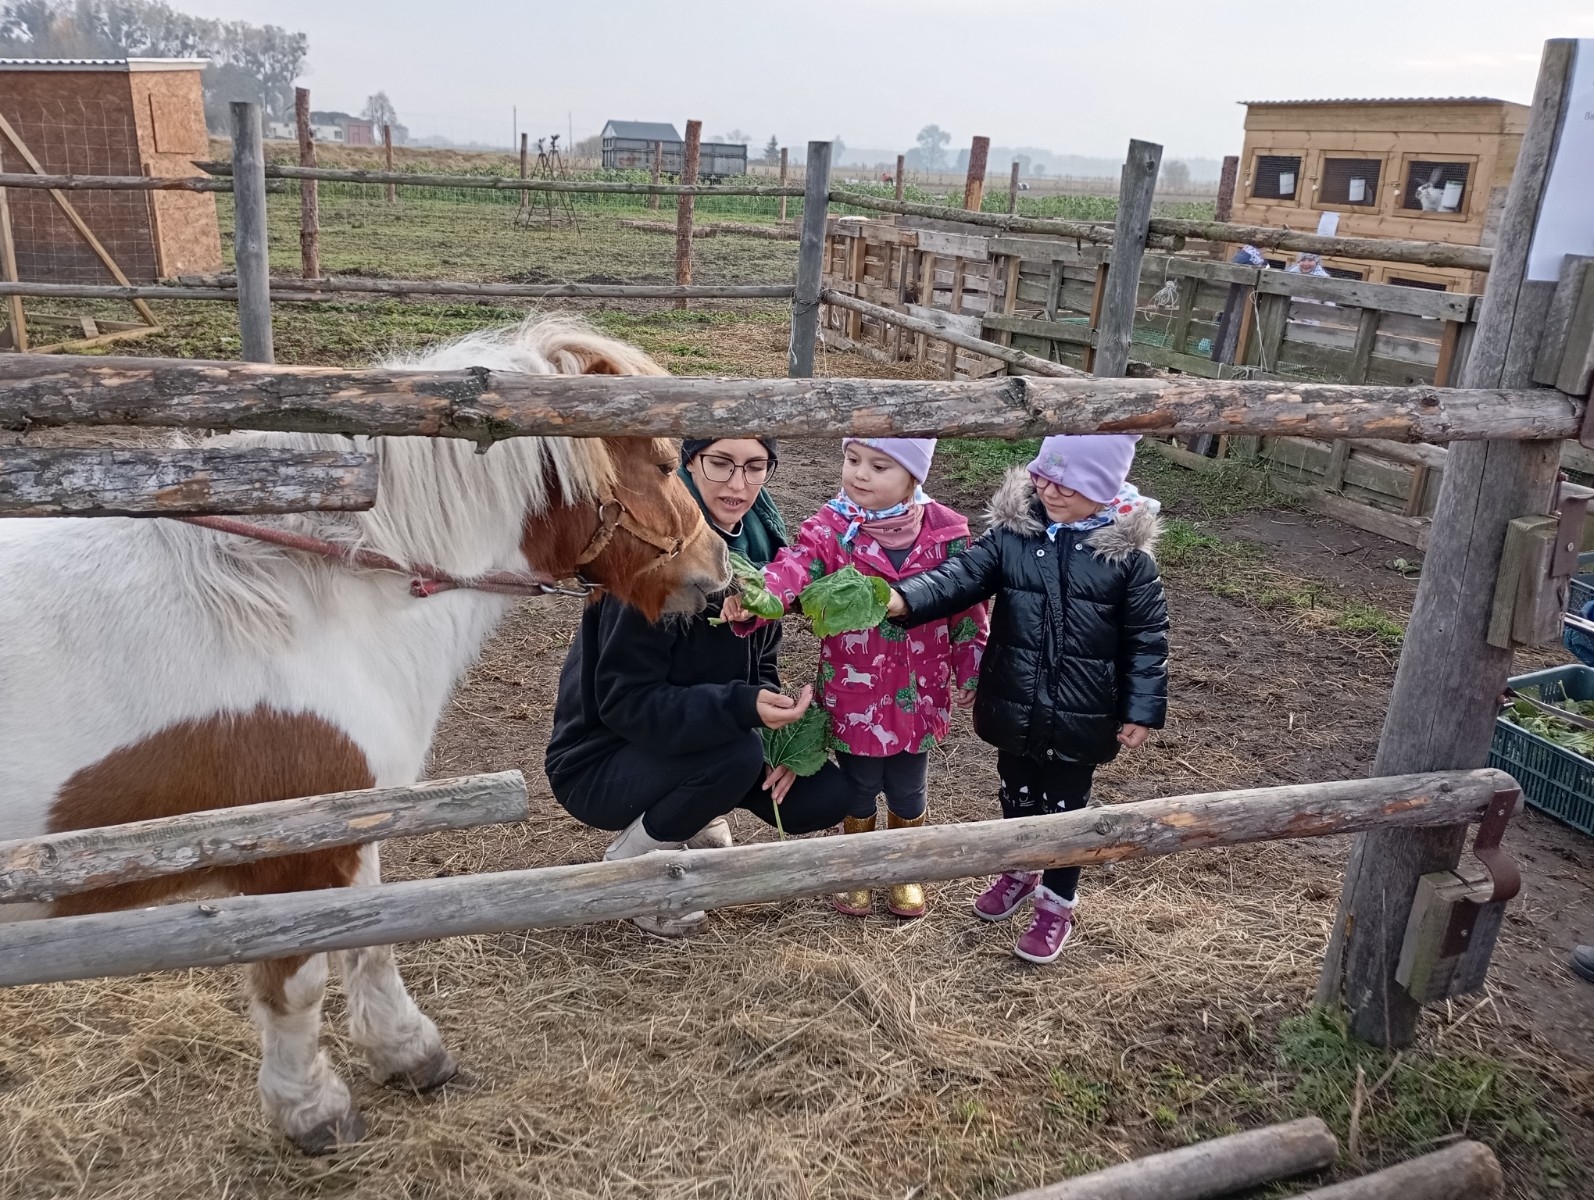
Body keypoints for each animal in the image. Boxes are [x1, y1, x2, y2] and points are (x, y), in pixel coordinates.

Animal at [0, 315, 729, 1152]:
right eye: (666, 463)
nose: (719, 565)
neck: (309, 607)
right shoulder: (296, 858)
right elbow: (298, 984)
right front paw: (312, 1109)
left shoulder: (357, 826)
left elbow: (372, 939)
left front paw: (409, 1052)